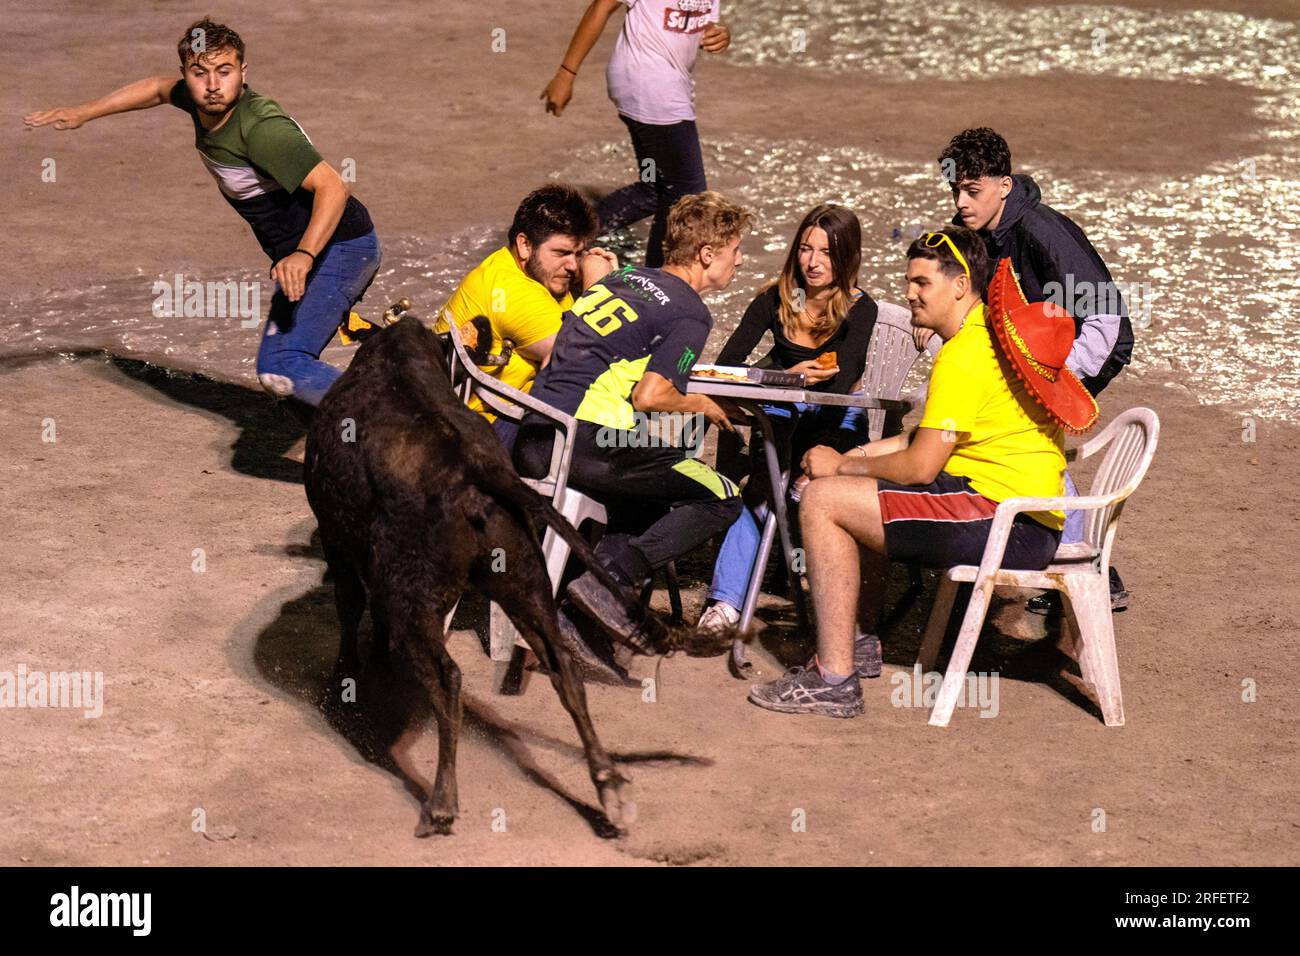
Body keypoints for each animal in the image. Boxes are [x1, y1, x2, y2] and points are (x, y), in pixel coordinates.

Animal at [302, 316, 670, 837]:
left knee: (448, 676)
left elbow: (350, 606)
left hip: (413, 600)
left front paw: (347, 675)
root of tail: (477, 468)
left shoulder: (337, 539)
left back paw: (441, 801)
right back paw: (610, 788)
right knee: (563, 669)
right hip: (525, 584)